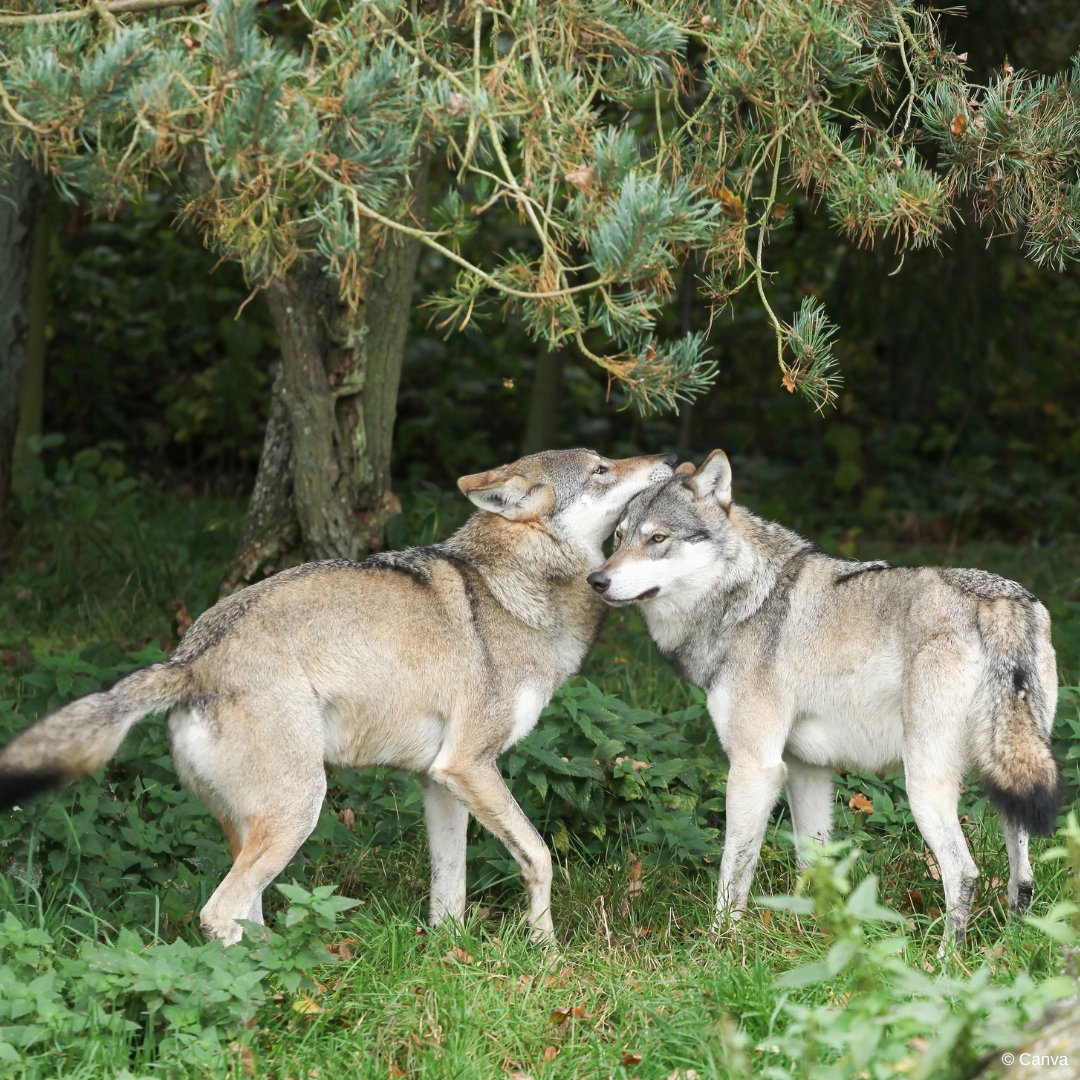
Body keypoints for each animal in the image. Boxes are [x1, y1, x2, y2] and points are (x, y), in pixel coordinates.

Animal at [0, 448, 676, 946]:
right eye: (602, 468)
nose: (669, 456)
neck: (517, 586)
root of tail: (188, 659)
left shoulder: (441, 780)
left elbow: (449, 892)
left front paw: (450, 957)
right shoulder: (470, 766)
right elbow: (539, 856)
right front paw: (545, 951)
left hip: (258, 826)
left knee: (247, 911)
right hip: (301, 809)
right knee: (220, 915)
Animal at [587, 450, 1060, 950]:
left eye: (657, 538)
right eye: (618, 538)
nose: (596, 579)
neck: (745, 599)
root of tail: (1002, 603)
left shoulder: (755, 767)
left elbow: (733, 872)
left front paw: (719, 943)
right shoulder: (806, 768)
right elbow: (814, 863)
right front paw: (812, 932)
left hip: (924, 784)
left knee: (964, 872)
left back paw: (945, 959)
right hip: (1009, 779)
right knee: (1022, 879)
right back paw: (1012, 944)